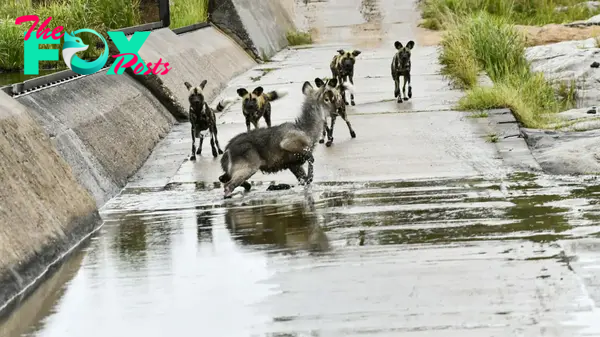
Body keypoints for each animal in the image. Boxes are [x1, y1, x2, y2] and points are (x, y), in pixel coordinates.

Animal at [218, 77, 352, 198]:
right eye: (331, 97)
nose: (340, 107)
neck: (306, 129)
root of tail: (227, 149)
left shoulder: (293, 165)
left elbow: (305, 180)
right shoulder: (288, 143)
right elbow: (310, 158)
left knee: (223, 178)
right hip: (249, 167)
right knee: (228, 186)